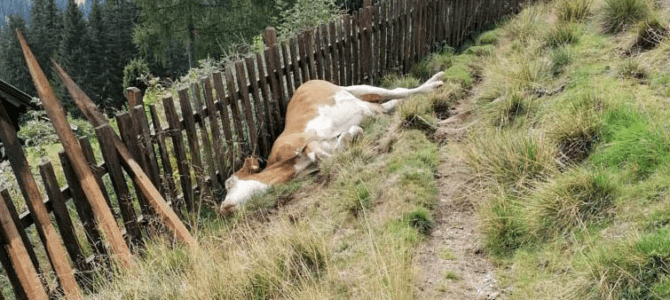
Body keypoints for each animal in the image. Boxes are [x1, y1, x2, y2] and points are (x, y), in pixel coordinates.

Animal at [218, 72, 446, 216]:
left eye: (229, 183)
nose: (222, 209)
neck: (295, 167)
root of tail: (307, 82)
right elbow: (338, 147)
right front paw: (349, 139)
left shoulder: (300, 142)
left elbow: (320, 150)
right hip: (365, 102)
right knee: (389, 102)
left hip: (353, 89)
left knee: (394, 91)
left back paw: (435, 83)